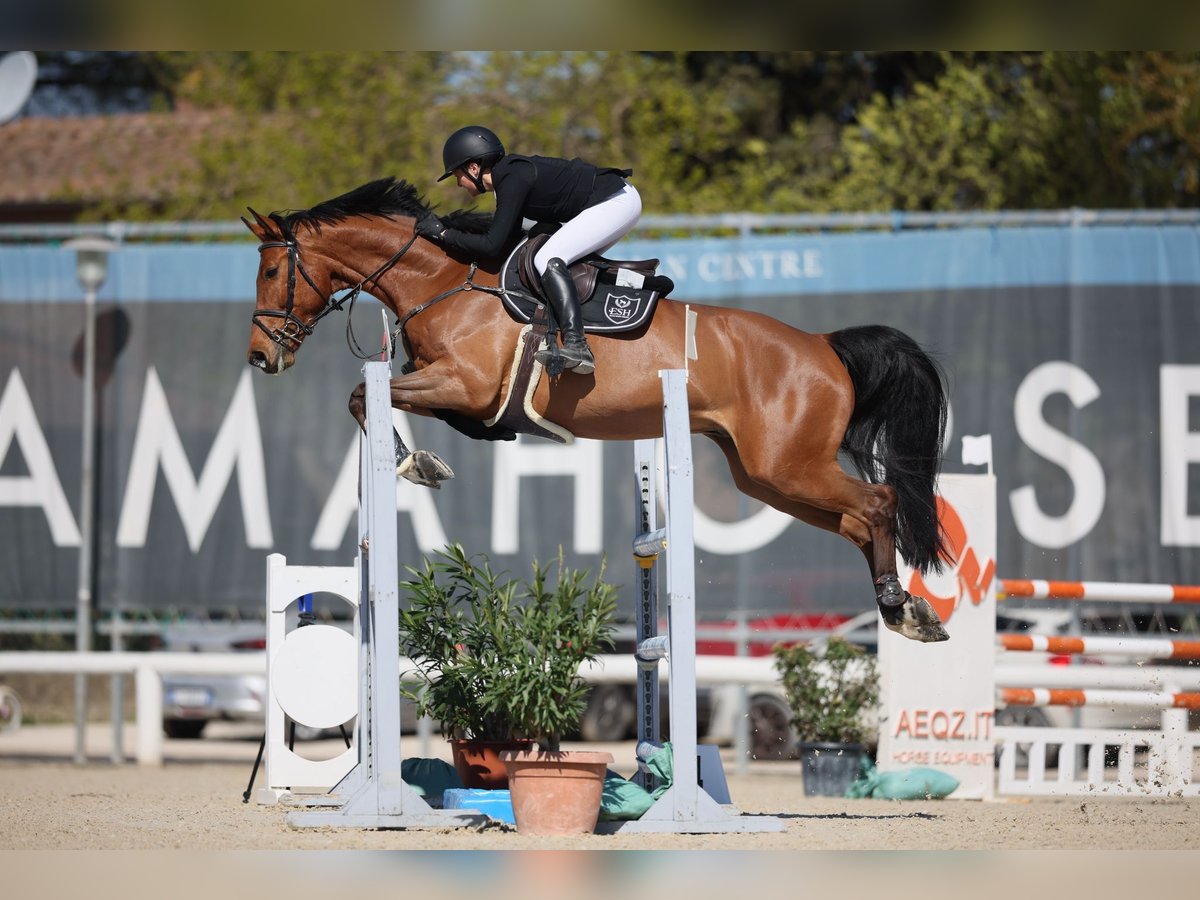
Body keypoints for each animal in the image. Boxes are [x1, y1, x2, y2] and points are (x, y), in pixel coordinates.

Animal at [244, 177, 950, 643]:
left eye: (274, 271)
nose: (259, 356)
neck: (441, 283)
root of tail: (824, 346)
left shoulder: (465, 386)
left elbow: (365, 395)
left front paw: (416, 464)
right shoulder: (459, 396)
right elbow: (370, 396)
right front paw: (414, 460)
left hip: (789, 465)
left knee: (879, 503)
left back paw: (900, 605)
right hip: (768, 477)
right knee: (858, 523)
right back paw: (904, 611)